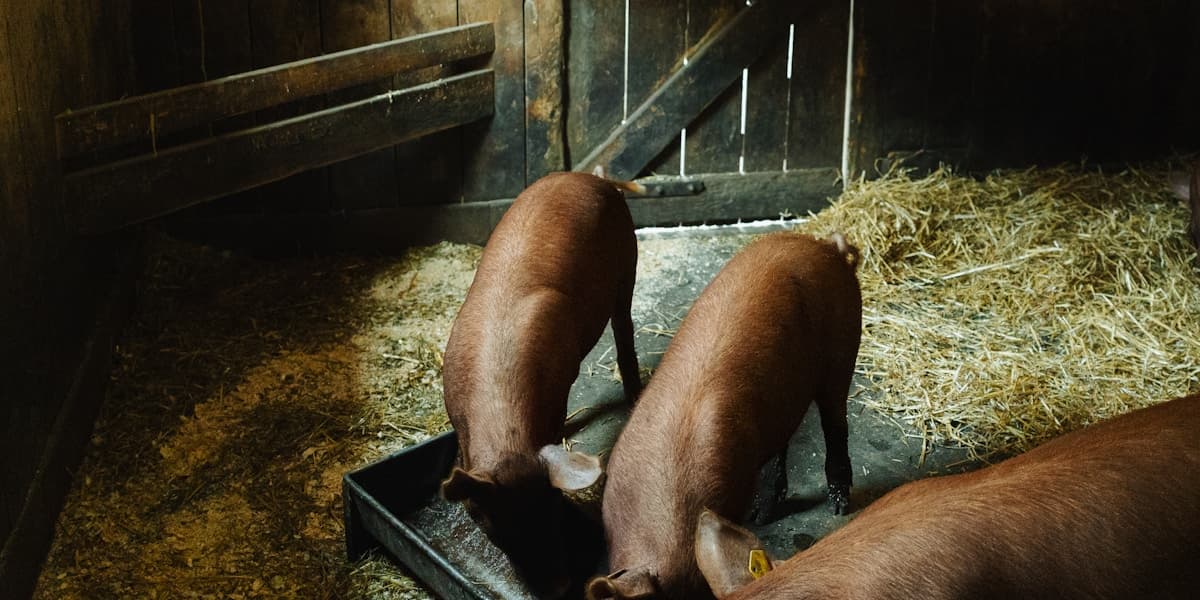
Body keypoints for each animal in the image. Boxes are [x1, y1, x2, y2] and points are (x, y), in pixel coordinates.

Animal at [440, 170, 644, 598]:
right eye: (495, 529)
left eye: (554, 508)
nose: (559, 587)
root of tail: (591, 177)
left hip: (627, 264)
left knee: (624, 330)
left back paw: (636, 396)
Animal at [587, 232, 863, 600]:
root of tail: (827, 246)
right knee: (784, 440)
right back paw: (763, 515)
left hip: (843, 348)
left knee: (836, 424)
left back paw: (839, 505)